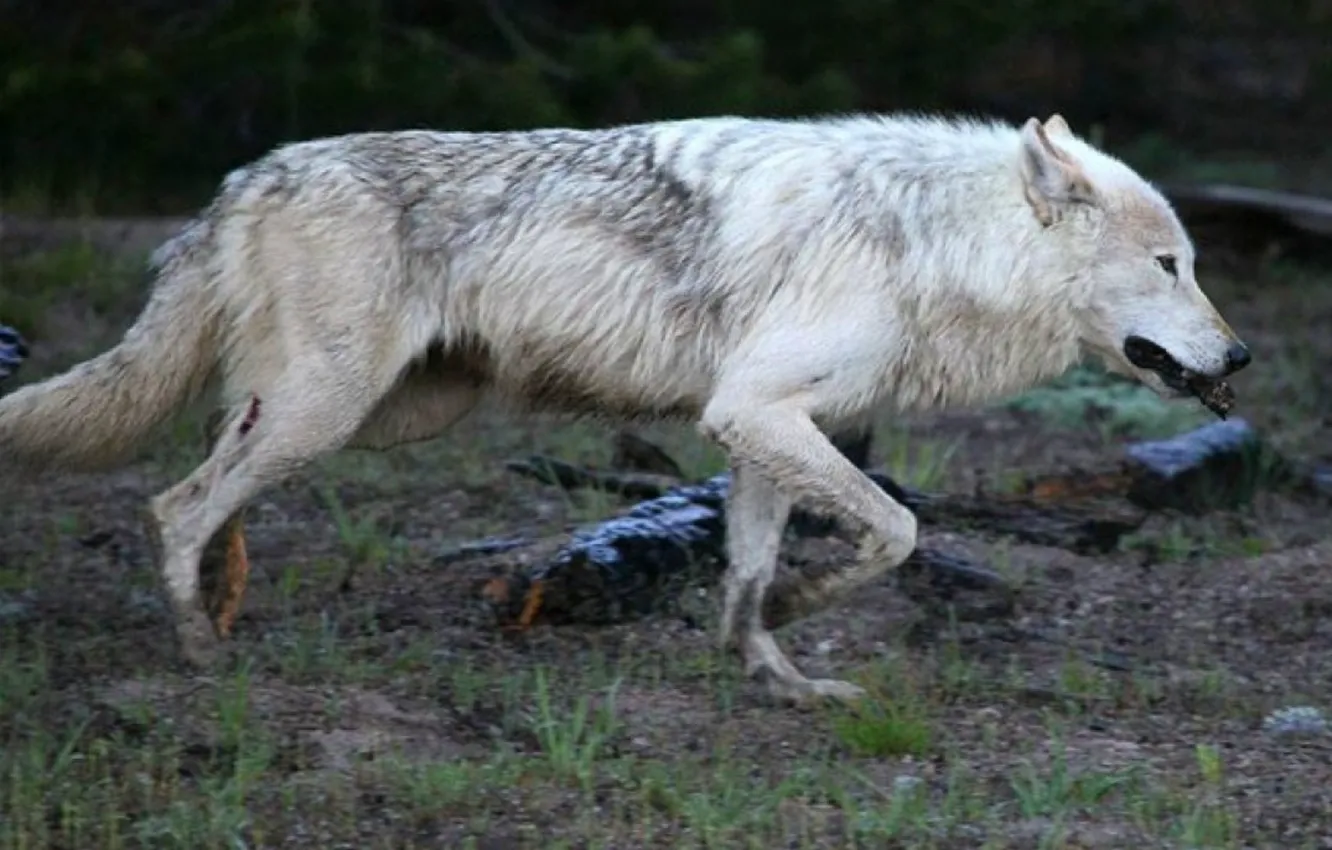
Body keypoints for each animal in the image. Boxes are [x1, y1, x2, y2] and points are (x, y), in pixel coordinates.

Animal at [0, 112, 1250, 706]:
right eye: (1172, 264)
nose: (1239, 356)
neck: (929, 242)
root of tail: (241, 179)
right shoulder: (761, 416)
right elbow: (896, 529)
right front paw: (801, 613)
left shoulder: (752, 427)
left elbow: (750, 572)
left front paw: (775, 675)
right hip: (332, 409)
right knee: (174, 502)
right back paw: (194, 652)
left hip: (371, 414)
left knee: (212, 487)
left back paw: (221, 612)